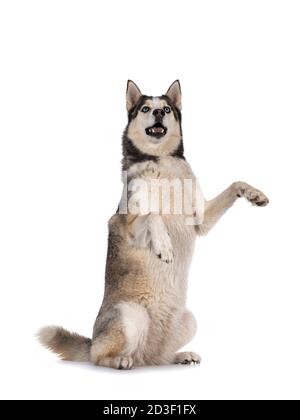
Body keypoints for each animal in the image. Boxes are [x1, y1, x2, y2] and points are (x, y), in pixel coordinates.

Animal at [38, 80, 270, 370]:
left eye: (167, 109)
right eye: (146, 108)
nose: (158, 112)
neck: (161, 162)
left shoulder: (201, 220)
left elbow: (234, 184)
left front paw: (254, 194)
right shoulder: (124, 222)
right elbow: (153, 215)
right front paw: (164, 247)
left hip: (188, 321)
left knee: (158, 357)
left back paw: (179, 356)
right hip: (129, 314)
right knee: (99, 357)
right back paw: (119, 360)